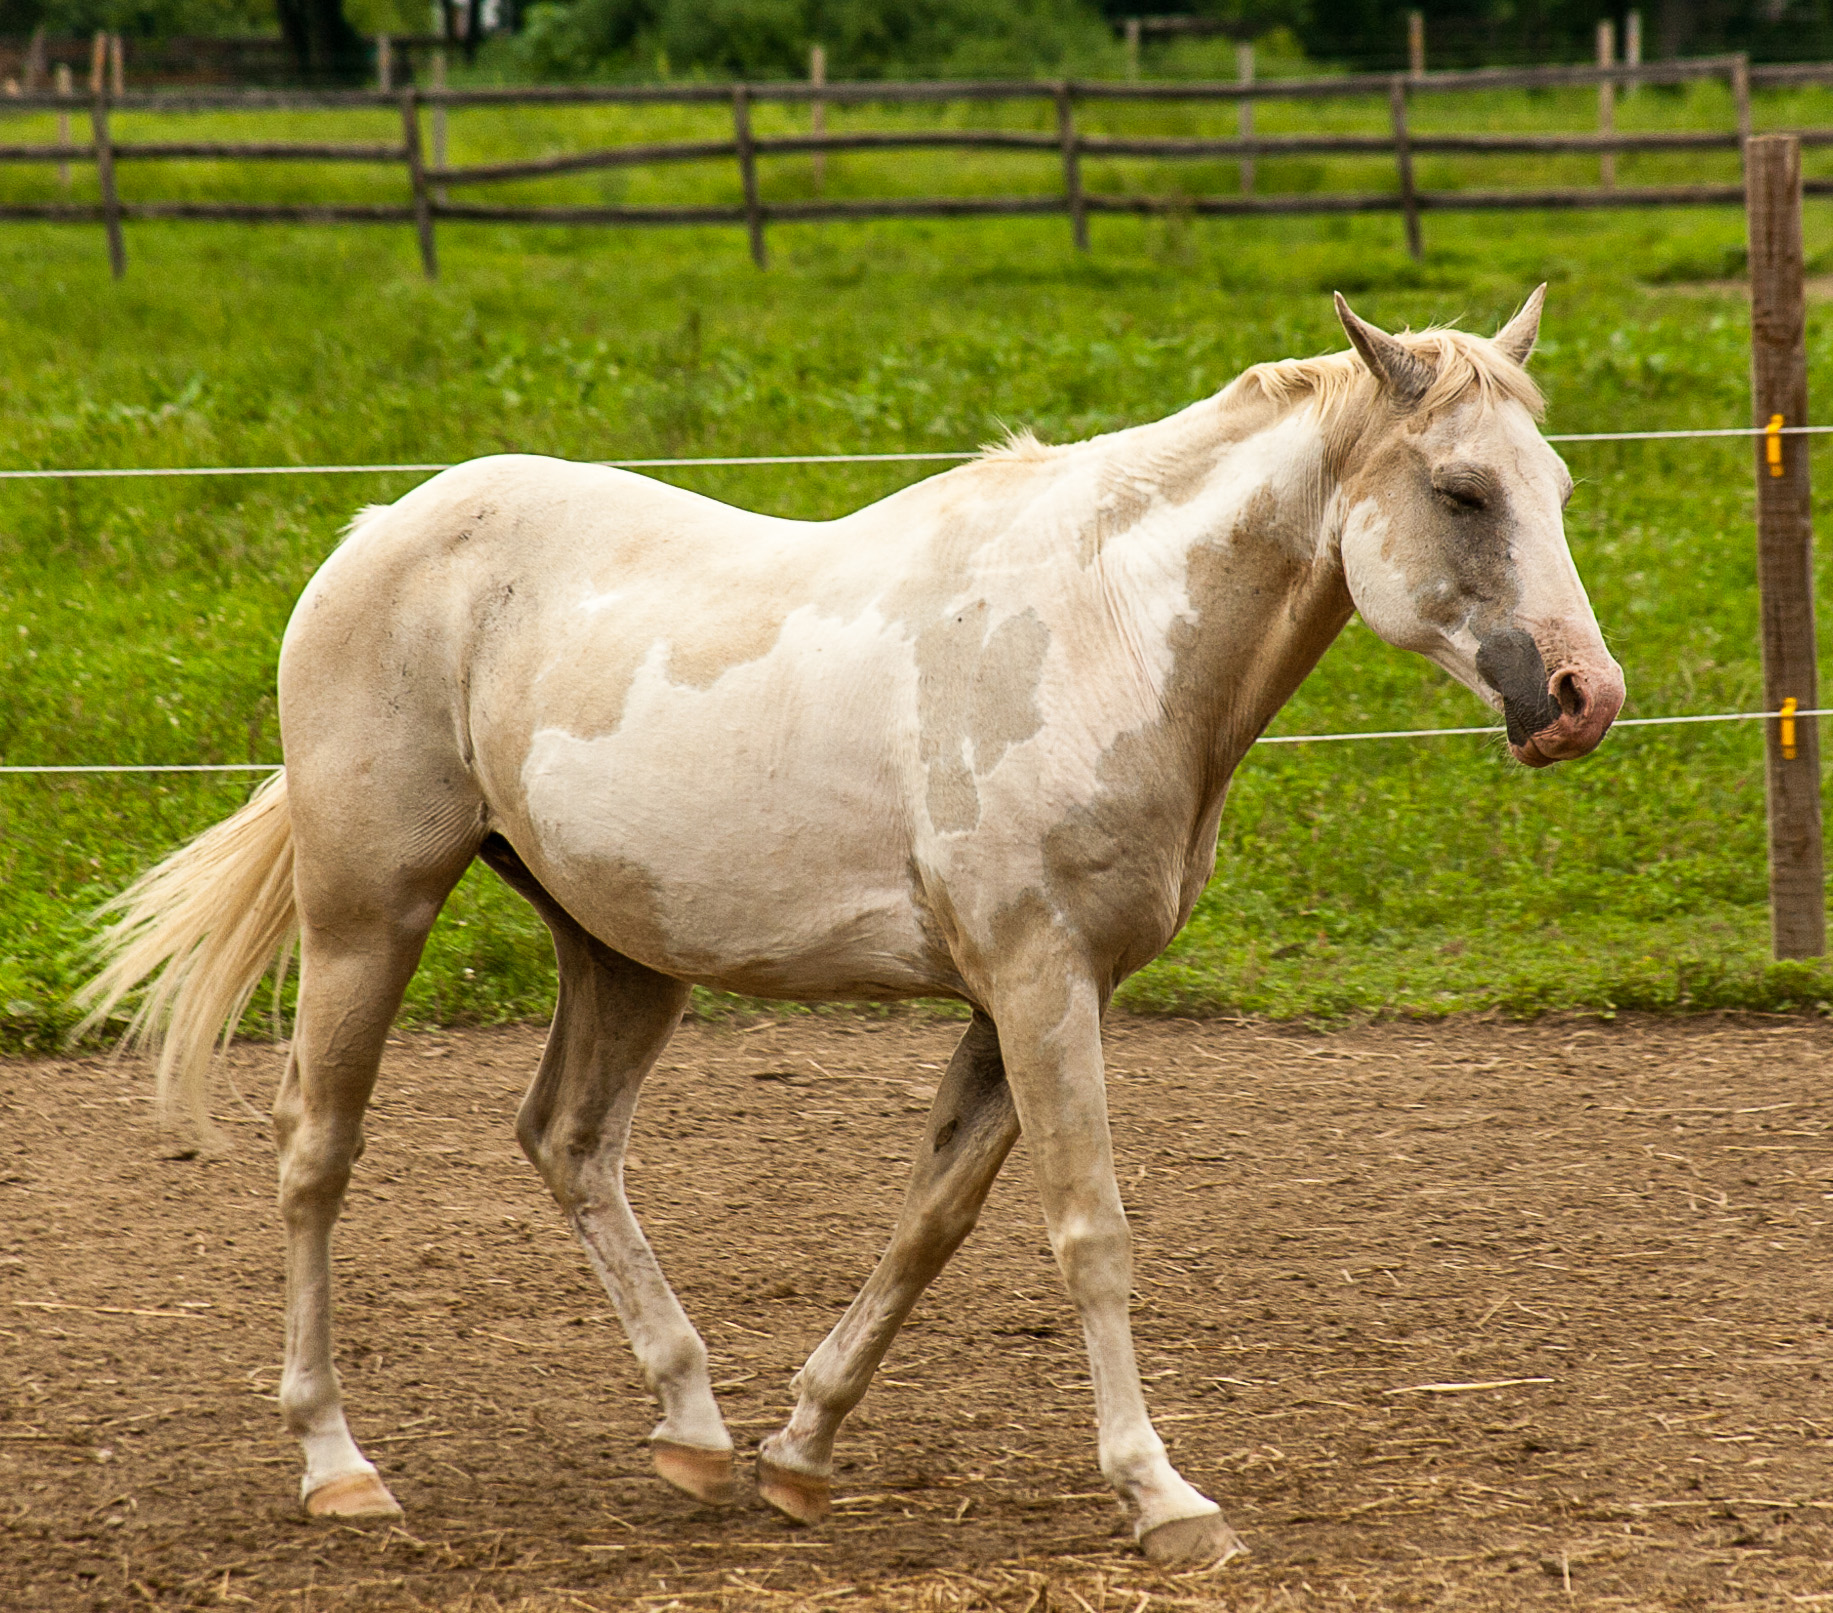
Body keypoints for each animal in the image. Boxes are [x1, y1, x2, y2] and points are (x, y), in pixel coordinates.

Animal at [86, 289, 1627, 1561]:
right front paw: (1163, 1495)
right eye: (1461, 490)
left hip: (622, 948)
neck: (1104, 629)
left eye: (1555, 483)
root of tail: (371, 537)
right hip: (371, 911)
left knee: (569, 1140)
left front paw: (801, 1452)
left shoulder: (1036, 995)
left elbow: (929, 1223)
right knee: (316, 1153)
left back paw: (694, 1432)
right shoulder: (1038, 979)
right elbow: (1090, 1231)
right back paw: (338, 1464)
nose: (1581, 696)